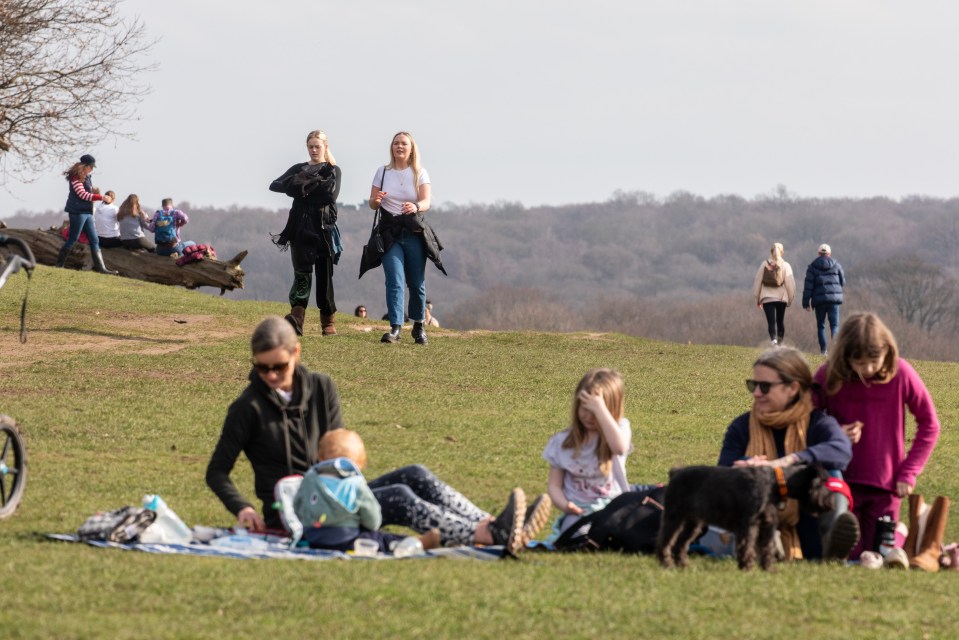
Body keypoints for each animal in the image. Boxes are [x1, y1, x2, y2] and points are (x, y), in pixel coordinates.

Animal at [656, 464, 836, 568]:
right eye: (823, 482)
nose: (830, 502)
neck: (777, 483)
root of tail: (676, 473)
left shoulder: (766, 524)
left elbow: (767, 546)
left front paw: (767, 568)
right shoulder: (749, 523)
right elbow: (747, 545)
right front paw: (747, 566)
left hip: (693, 522)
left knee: (681, 543)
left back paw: (683, 564)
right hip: (674, 516)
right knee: (665, 540)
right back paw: (666, 562)